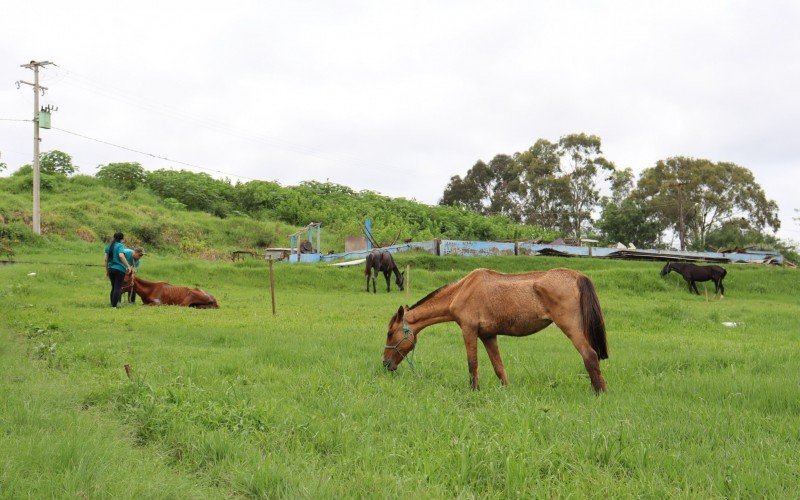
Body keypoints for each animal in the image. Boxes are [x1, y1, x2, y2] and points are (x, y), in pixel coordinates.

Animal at [382, 268, 608, 392]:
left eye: (390, 333)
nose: (385, 364)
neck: (461, 290)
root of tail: (577, 276)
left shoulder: (469, 330)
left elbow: (472, 364)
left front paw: (474, 391)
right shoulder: (488, 335)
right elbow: (499, 367)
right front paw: (506, 391)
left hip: (571, 328)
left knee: (590, 355)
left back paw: (599, 394)